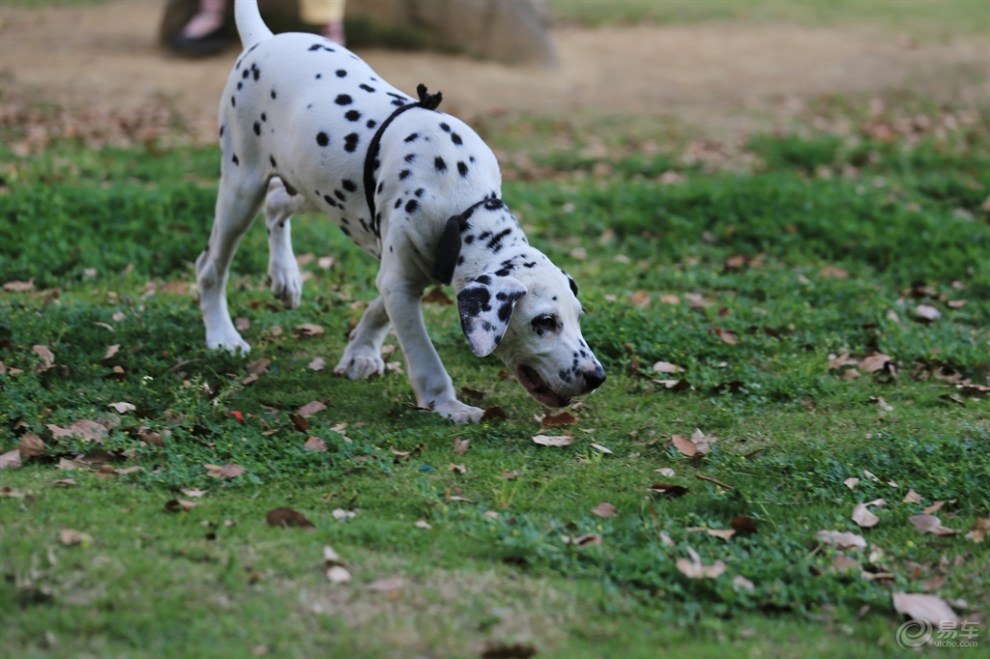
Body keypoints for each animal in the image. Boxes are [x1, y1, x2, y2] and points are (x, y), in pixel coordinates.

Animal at [196, 0, 604, 422]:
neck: (460, 198)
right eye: (544, 322)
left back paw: (285, 277)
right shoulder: (401, 279)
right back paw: (223, 336)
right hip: (241, 188)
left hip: (310, 183)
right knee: (210, 267)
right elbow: (424, 356)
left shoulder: (413, 270)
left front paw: (360, 351)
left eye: (578, 316)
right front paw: (448, 405)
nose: (596, 376)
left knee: (277, 204)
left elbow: (379, 309)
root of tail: (262, 40)